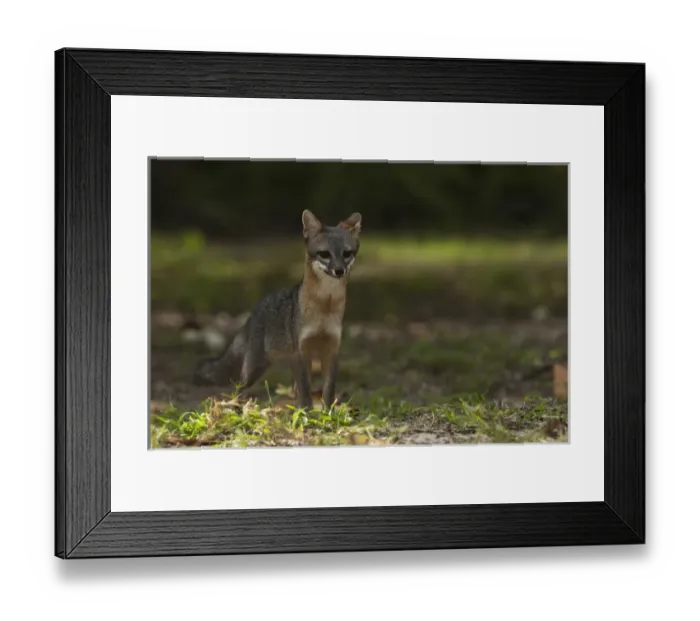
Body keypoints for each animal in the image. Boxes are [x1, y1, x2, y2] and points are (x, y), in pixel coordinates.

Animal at [193, 209, 362, 409]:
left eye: (346, 254)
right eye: (324, 254)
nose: (339, 270)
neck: (325, 306)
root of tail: (254, 312)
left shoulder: (331, 349)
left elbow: (328, 389)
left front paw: (327, 412)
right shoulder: (301, 351)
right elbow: (306, 389)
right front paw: (307, 412)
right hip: (255, 370)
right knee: (238, 389)